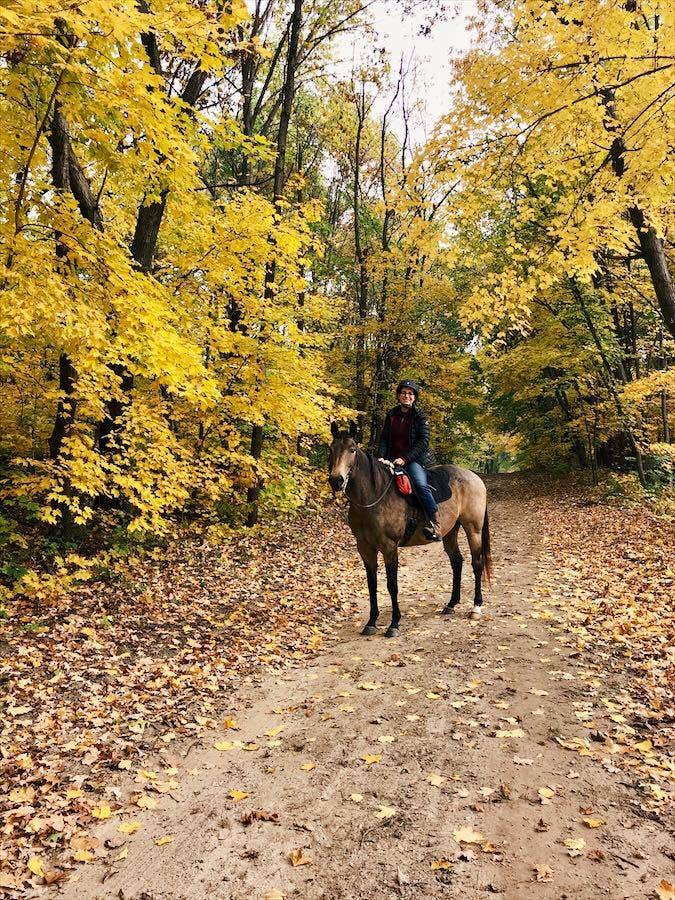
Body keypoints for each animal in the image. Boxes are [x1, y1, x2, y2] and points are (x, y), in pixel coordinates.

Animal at [328, 422, 491, 637]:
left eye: (352, 449)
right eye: (331, 449)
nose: (336, 480)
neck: (374, 496)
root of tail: (474, 477)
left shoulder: (389, 547)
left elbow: (392, 585)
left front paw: (394, 624)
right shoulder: (364, 548)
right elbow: (372, 584)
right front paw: (371, 622)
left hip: (473, 529)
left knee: (477, 563)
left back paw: (476, 607)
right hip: (450, 532)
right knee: (457, 562)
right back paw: (451, 604)